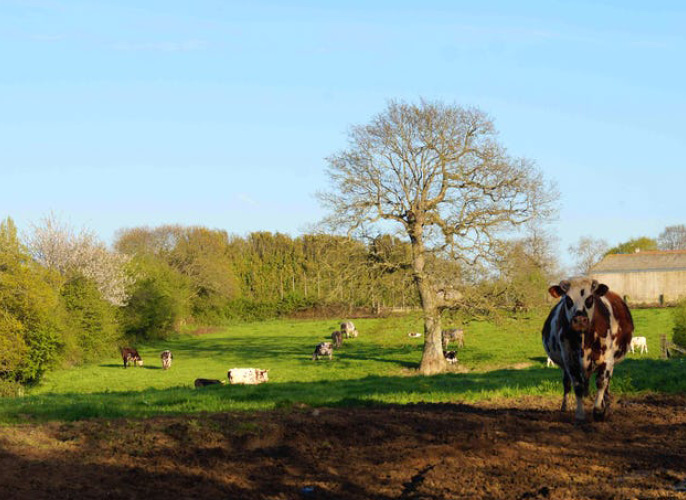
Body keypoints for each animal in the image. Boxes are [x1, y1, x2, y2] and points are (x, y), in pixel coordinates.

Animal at [544, 278, 636, 422]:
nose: (579, 320)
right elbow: (577, 385)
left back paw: (606, 405)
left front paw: (598, 410)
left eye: (590, 298)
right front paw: (580, 414)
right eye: (568, 299)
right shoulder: (569, 360)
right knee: (567, 383)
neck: (584, 341)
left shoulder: (607, 359)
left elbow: (601, 382)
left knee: (606, 384)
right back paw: (565, 406)